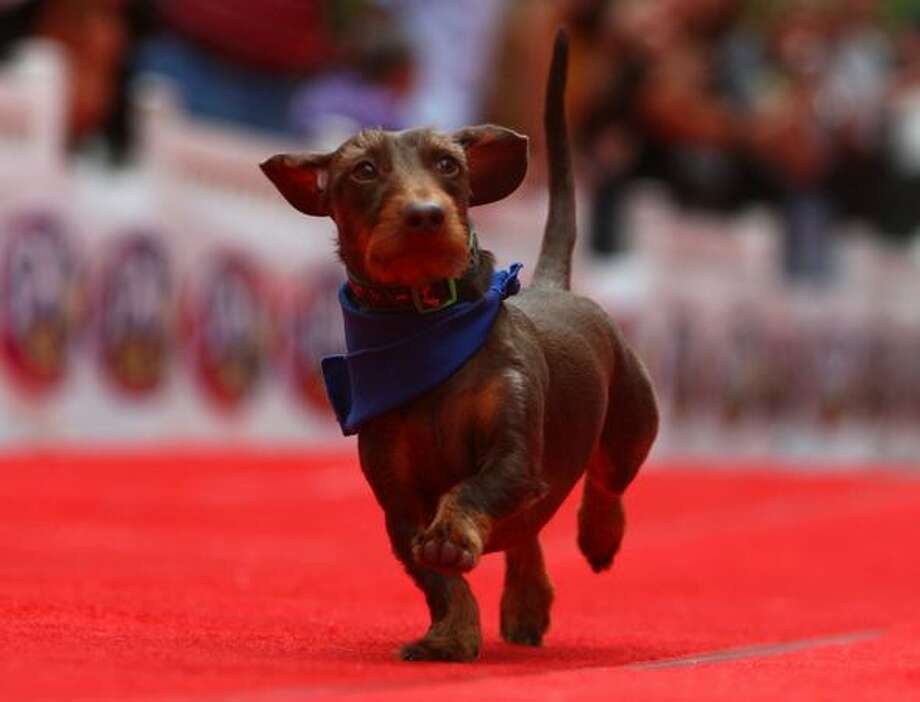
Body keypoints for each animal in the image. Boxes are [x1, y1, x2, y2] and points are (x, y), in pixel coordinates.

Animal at [262, 30, 656, 664]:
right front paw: (450, 634)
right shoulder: (397, 502)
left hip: (632, 423)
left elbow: (472, 490)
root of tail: (552, 285)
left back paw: (599, 535)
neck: (427, 331)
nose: (425, 215)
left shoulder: (515, 458)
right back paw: (526, 603)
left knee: (606, 482)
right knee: (527, 535)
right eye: (364, 170)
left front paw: (451, 536)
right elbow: (438, 580)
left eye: (448, 164)